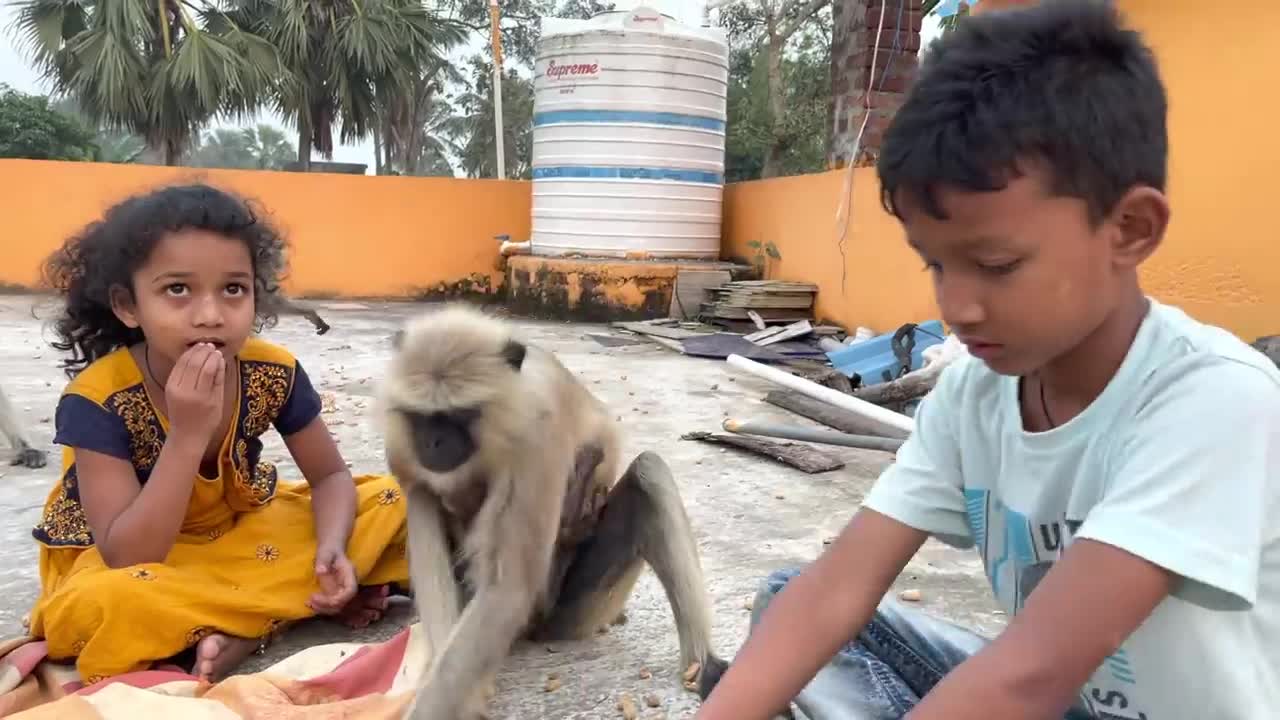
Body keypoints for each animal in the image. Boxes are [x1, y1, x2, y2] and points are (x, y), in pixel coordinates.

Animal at [373, 303, 727, 717]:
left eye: (460, 416)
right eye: (423, 418)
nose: (434, 442)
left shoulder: (536, 435)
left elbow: (508, 589)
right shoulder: (402, 447)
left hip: (572, 613)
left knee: (648, 471)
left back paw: (702, 667)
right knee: (425, 499)